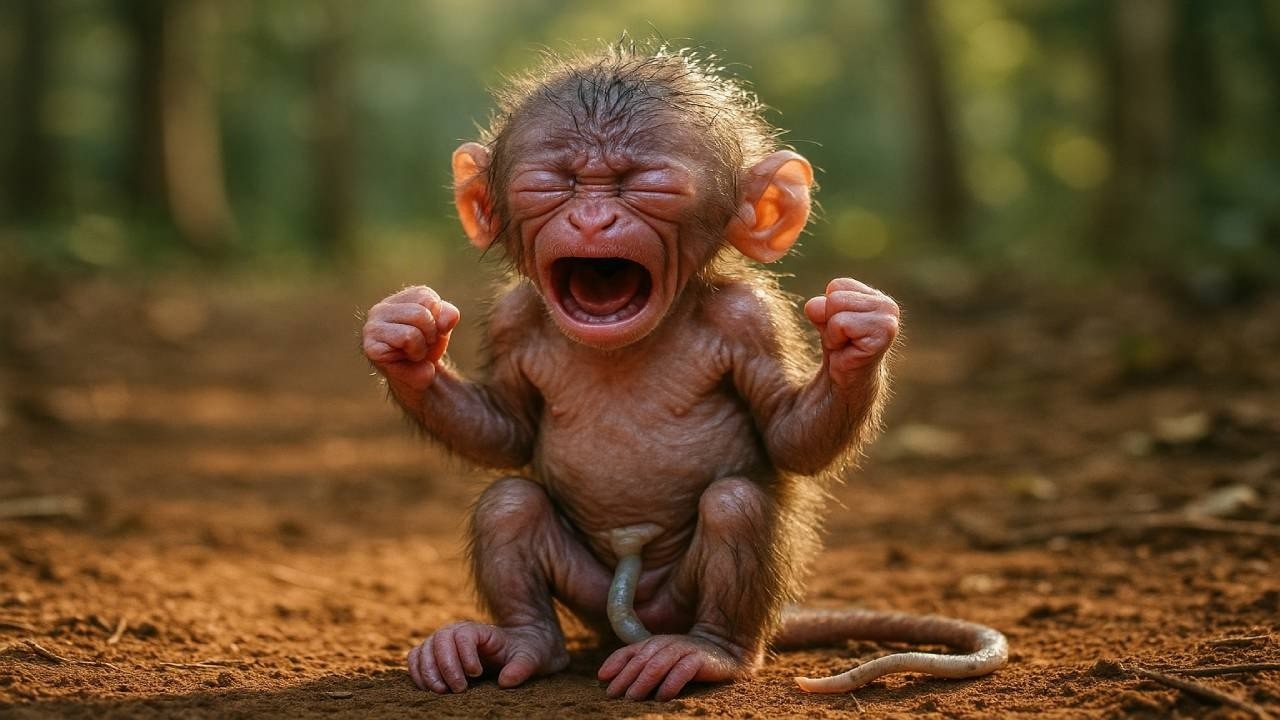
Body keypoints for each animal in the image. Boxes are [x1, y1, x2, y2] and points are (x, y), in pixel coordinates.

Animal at [361, 43, 1007, 701]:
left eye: (648, 187)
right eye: (554, 185)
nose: (592, 220)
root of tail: (633, 611)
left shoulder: (751, 320)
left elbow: (789, 437)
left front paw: (858, 336)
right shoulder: (514, 321)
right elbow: (504, 431)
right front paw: (406, 340)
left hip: (681, 600)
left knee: (734, 506)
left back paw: (706, 652)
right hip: (592, 594)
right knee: (510, 503)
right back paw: (519, 642)